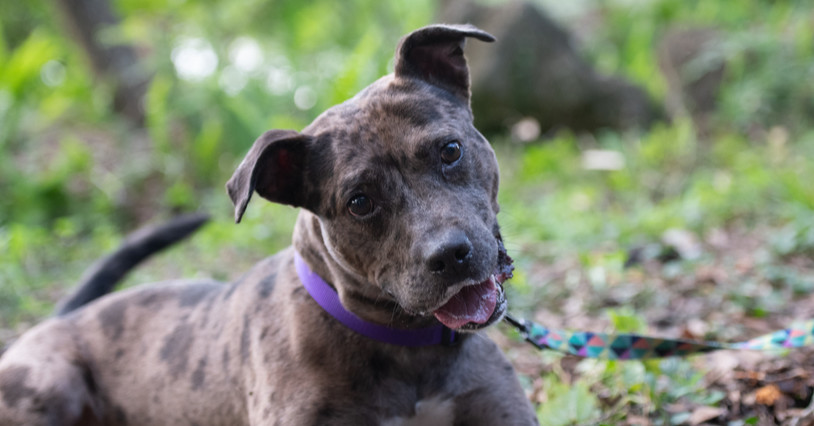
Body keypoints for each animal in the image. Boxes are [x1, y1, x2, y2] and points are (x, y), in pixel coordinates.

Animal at [0, 24, 540, 426]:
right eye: (359, 202)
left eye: (450, 150)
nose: (450, 255)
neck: (408, 350)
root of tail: (54, 321)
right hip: (49, 383)